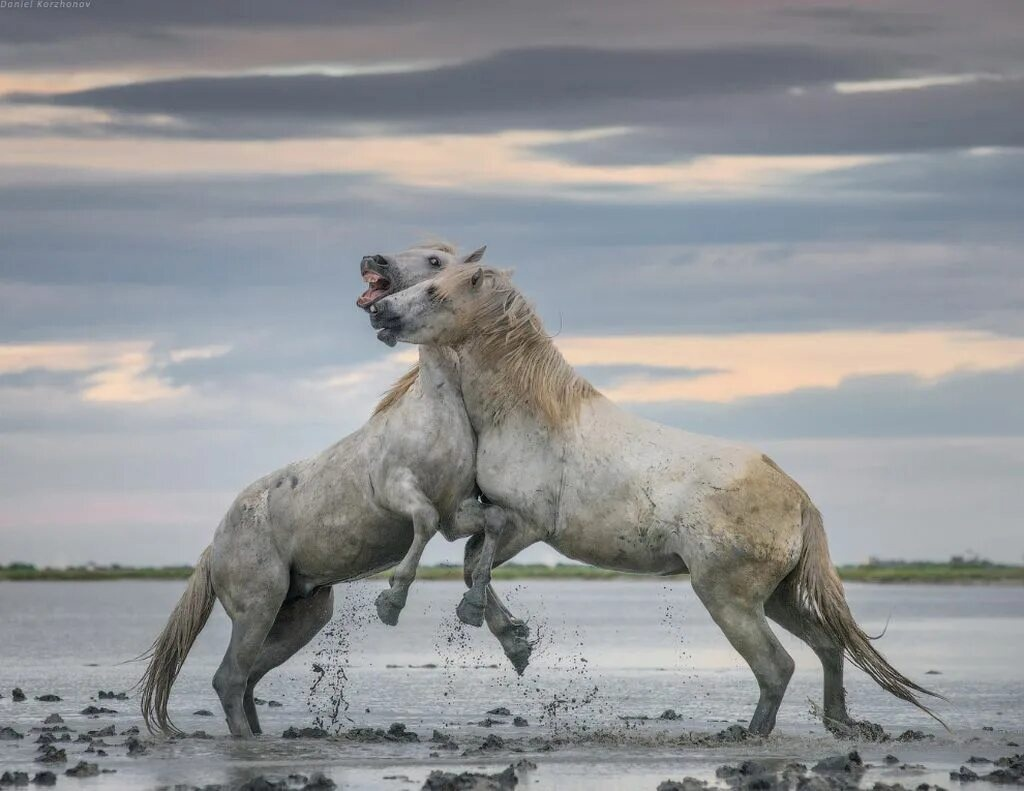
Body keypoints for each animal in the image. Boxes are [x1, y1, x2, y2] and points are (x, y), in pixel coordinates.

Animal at [137, 243, 532, 737]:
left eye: (437, 263)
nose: (374, 261)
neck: (434, 413)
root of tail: (214, 548)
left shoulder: (455, 514)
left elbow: (491, 521)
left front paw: (479, 611)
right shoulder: (398, 492)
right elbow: (420, 524)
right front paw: (392, 602)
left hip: (302, 616)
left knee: (246, 678)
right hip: (257, 608)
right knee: (228, 678)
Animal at [368, 262, 942, 733]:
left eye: (436, 290)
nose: (378, 310)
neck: (532, 414)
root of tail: (798, 498)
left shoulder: (526, 523)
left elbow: (473, 562)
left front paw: (498, 632)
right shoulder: (505, 522)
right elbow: (471, 561)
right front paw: (516, 641)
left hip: (728, 598)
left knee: (777, 665)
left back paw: (748, 734)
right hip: (775, 597)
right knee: (827, 645)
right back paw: (841, 724)